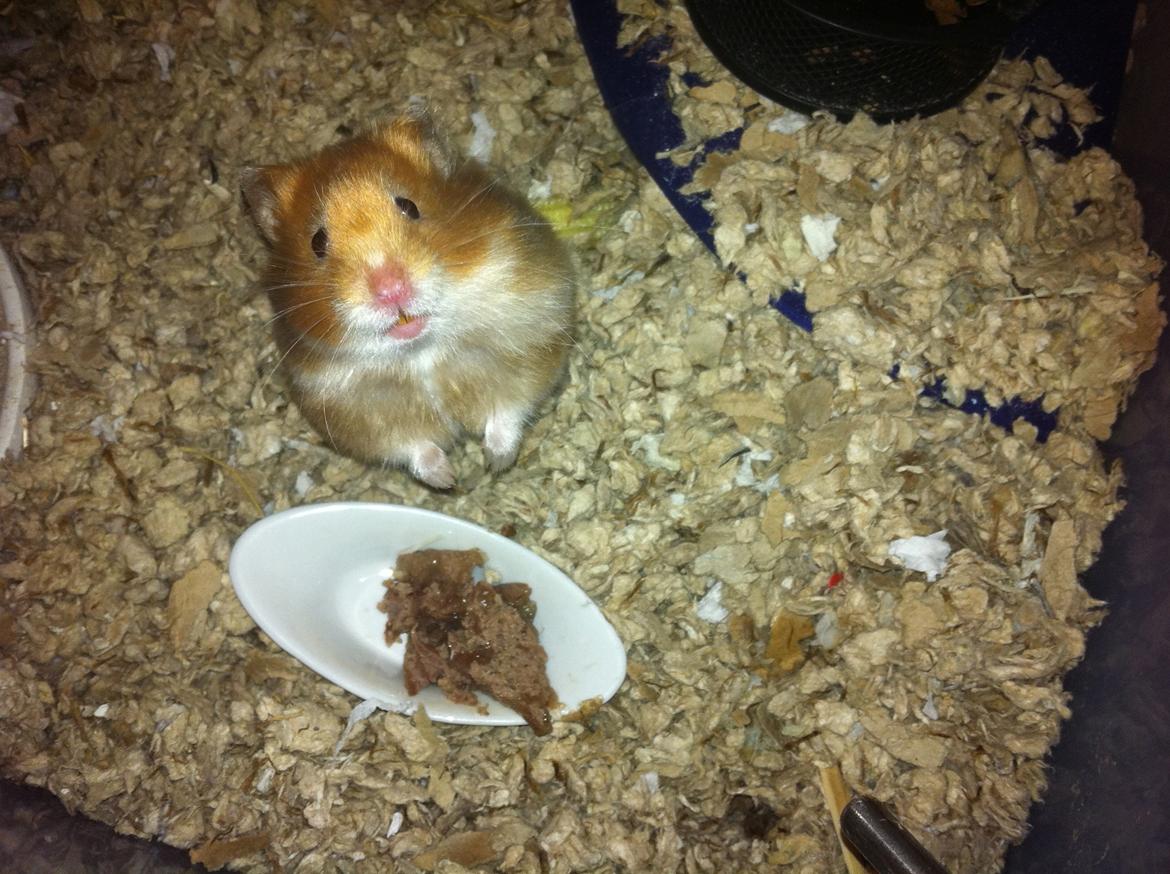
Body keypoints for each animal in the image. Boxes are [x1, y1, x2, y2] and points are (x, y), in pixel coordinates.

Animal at [240, 109, 576, 489]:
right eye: (317, 242)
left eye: (409, 207)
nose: (391, 291)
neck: (420, 349)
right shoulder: (359, 415)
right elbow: (415, 449)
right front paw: (447, 479)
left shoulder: (527, 345)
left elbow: (507, 414)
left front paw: (495, 462)